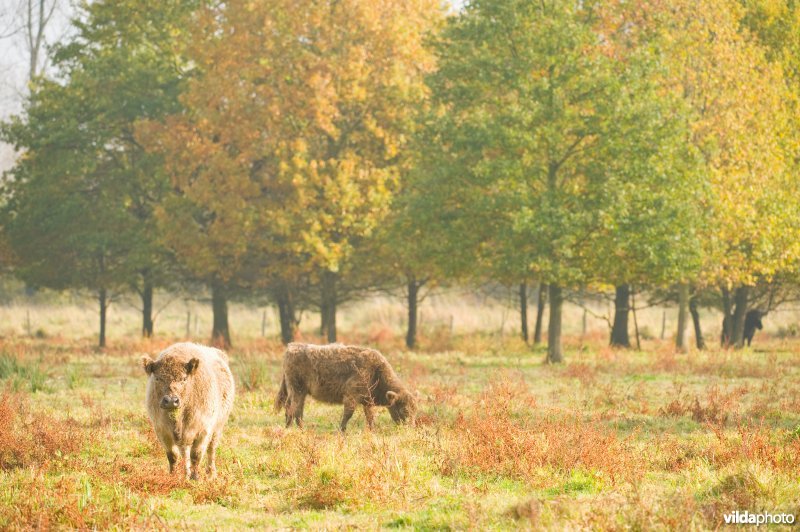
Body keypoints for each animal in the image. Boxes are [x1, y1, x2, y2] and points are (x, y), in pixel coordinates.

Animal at [142, 342, 234, 480]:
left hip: (218, 426)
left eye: (184, 379)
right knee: (185, 452)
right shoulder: (162, 432)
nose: (171, 400)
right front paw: (173, 476)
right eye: (158, 378)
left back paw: (211, 473)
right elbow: (173, 456)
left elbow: (196, 454)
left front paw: (195, 477)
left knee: (211, 449)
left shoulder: (203, 430)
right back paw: (186, 473)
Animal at [274, 342, 416, 430]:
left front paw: (372, 430)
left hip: (297, 392)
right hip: (297, 390)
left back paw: (291, 428)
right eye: (404, 410)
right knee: (295, 410)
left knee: (291, 409)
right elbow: (348, 414)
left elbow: (370, 417)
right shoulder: (351, 396)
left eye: (415, 410)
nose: (410, 428)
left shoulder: (367, 401)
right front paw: (341, 430)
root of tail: (291, 347)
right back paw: (299, 430)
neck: (376, 371)